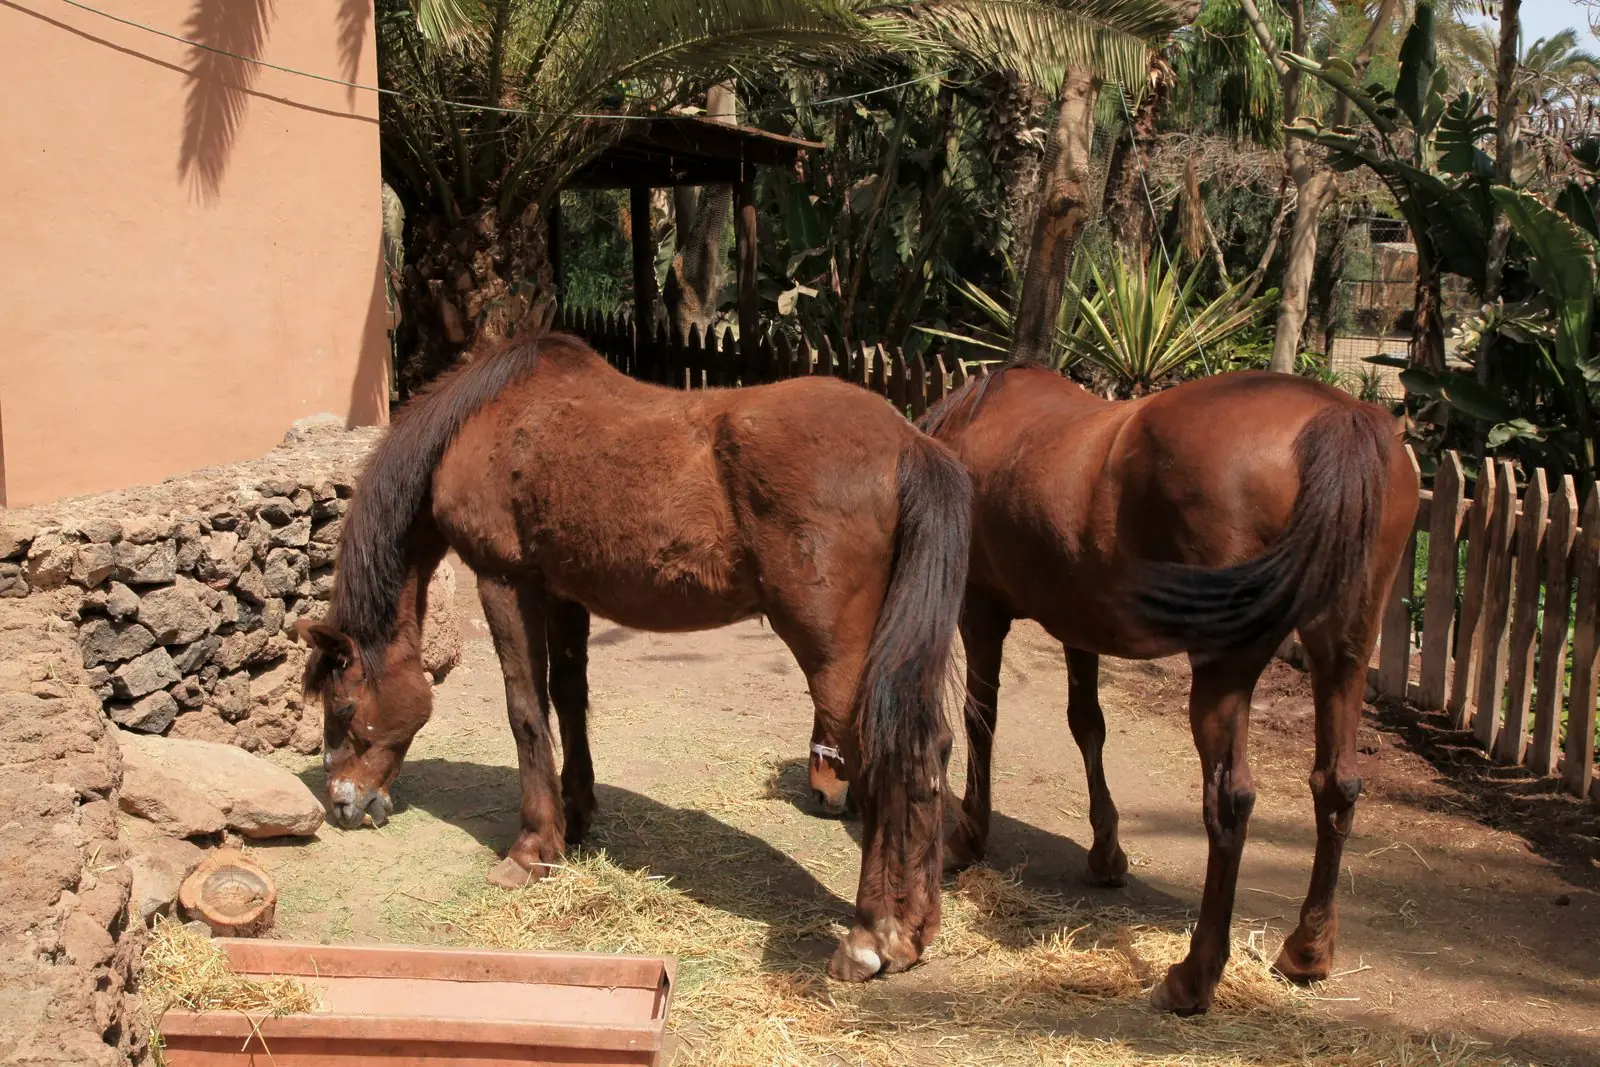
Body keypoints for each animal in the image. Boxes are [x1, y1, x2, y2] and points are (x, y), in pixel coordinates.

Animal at [295, 330, 970, 981]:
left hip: (833, 653)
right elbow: (567, 699)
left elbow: (525, 710)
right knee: (930, 751)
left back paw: (873, 937)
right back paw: (914, 931)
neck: (489, 415)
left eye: (344, 705)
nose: (344, 804)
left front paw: (531, 850)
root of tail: (909, 445)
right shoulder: (562, 589)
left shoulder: (506, 580)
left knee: (888, 755)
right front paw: (574, 820)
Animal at [807, 364, 1418, 1014]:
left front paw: (967, 838)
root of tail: (1335, 415)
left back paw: (1192, 978)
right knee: (1336, 784)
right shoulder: (1079, 625)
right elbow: (1087, 726)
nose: (822, 790)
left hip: (1226, 671)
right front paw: (1106, 854)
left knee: (1229, 802)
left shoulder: (980, 612)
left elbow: (981, 720)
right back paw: (1307, 950)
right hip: (1342, 658)